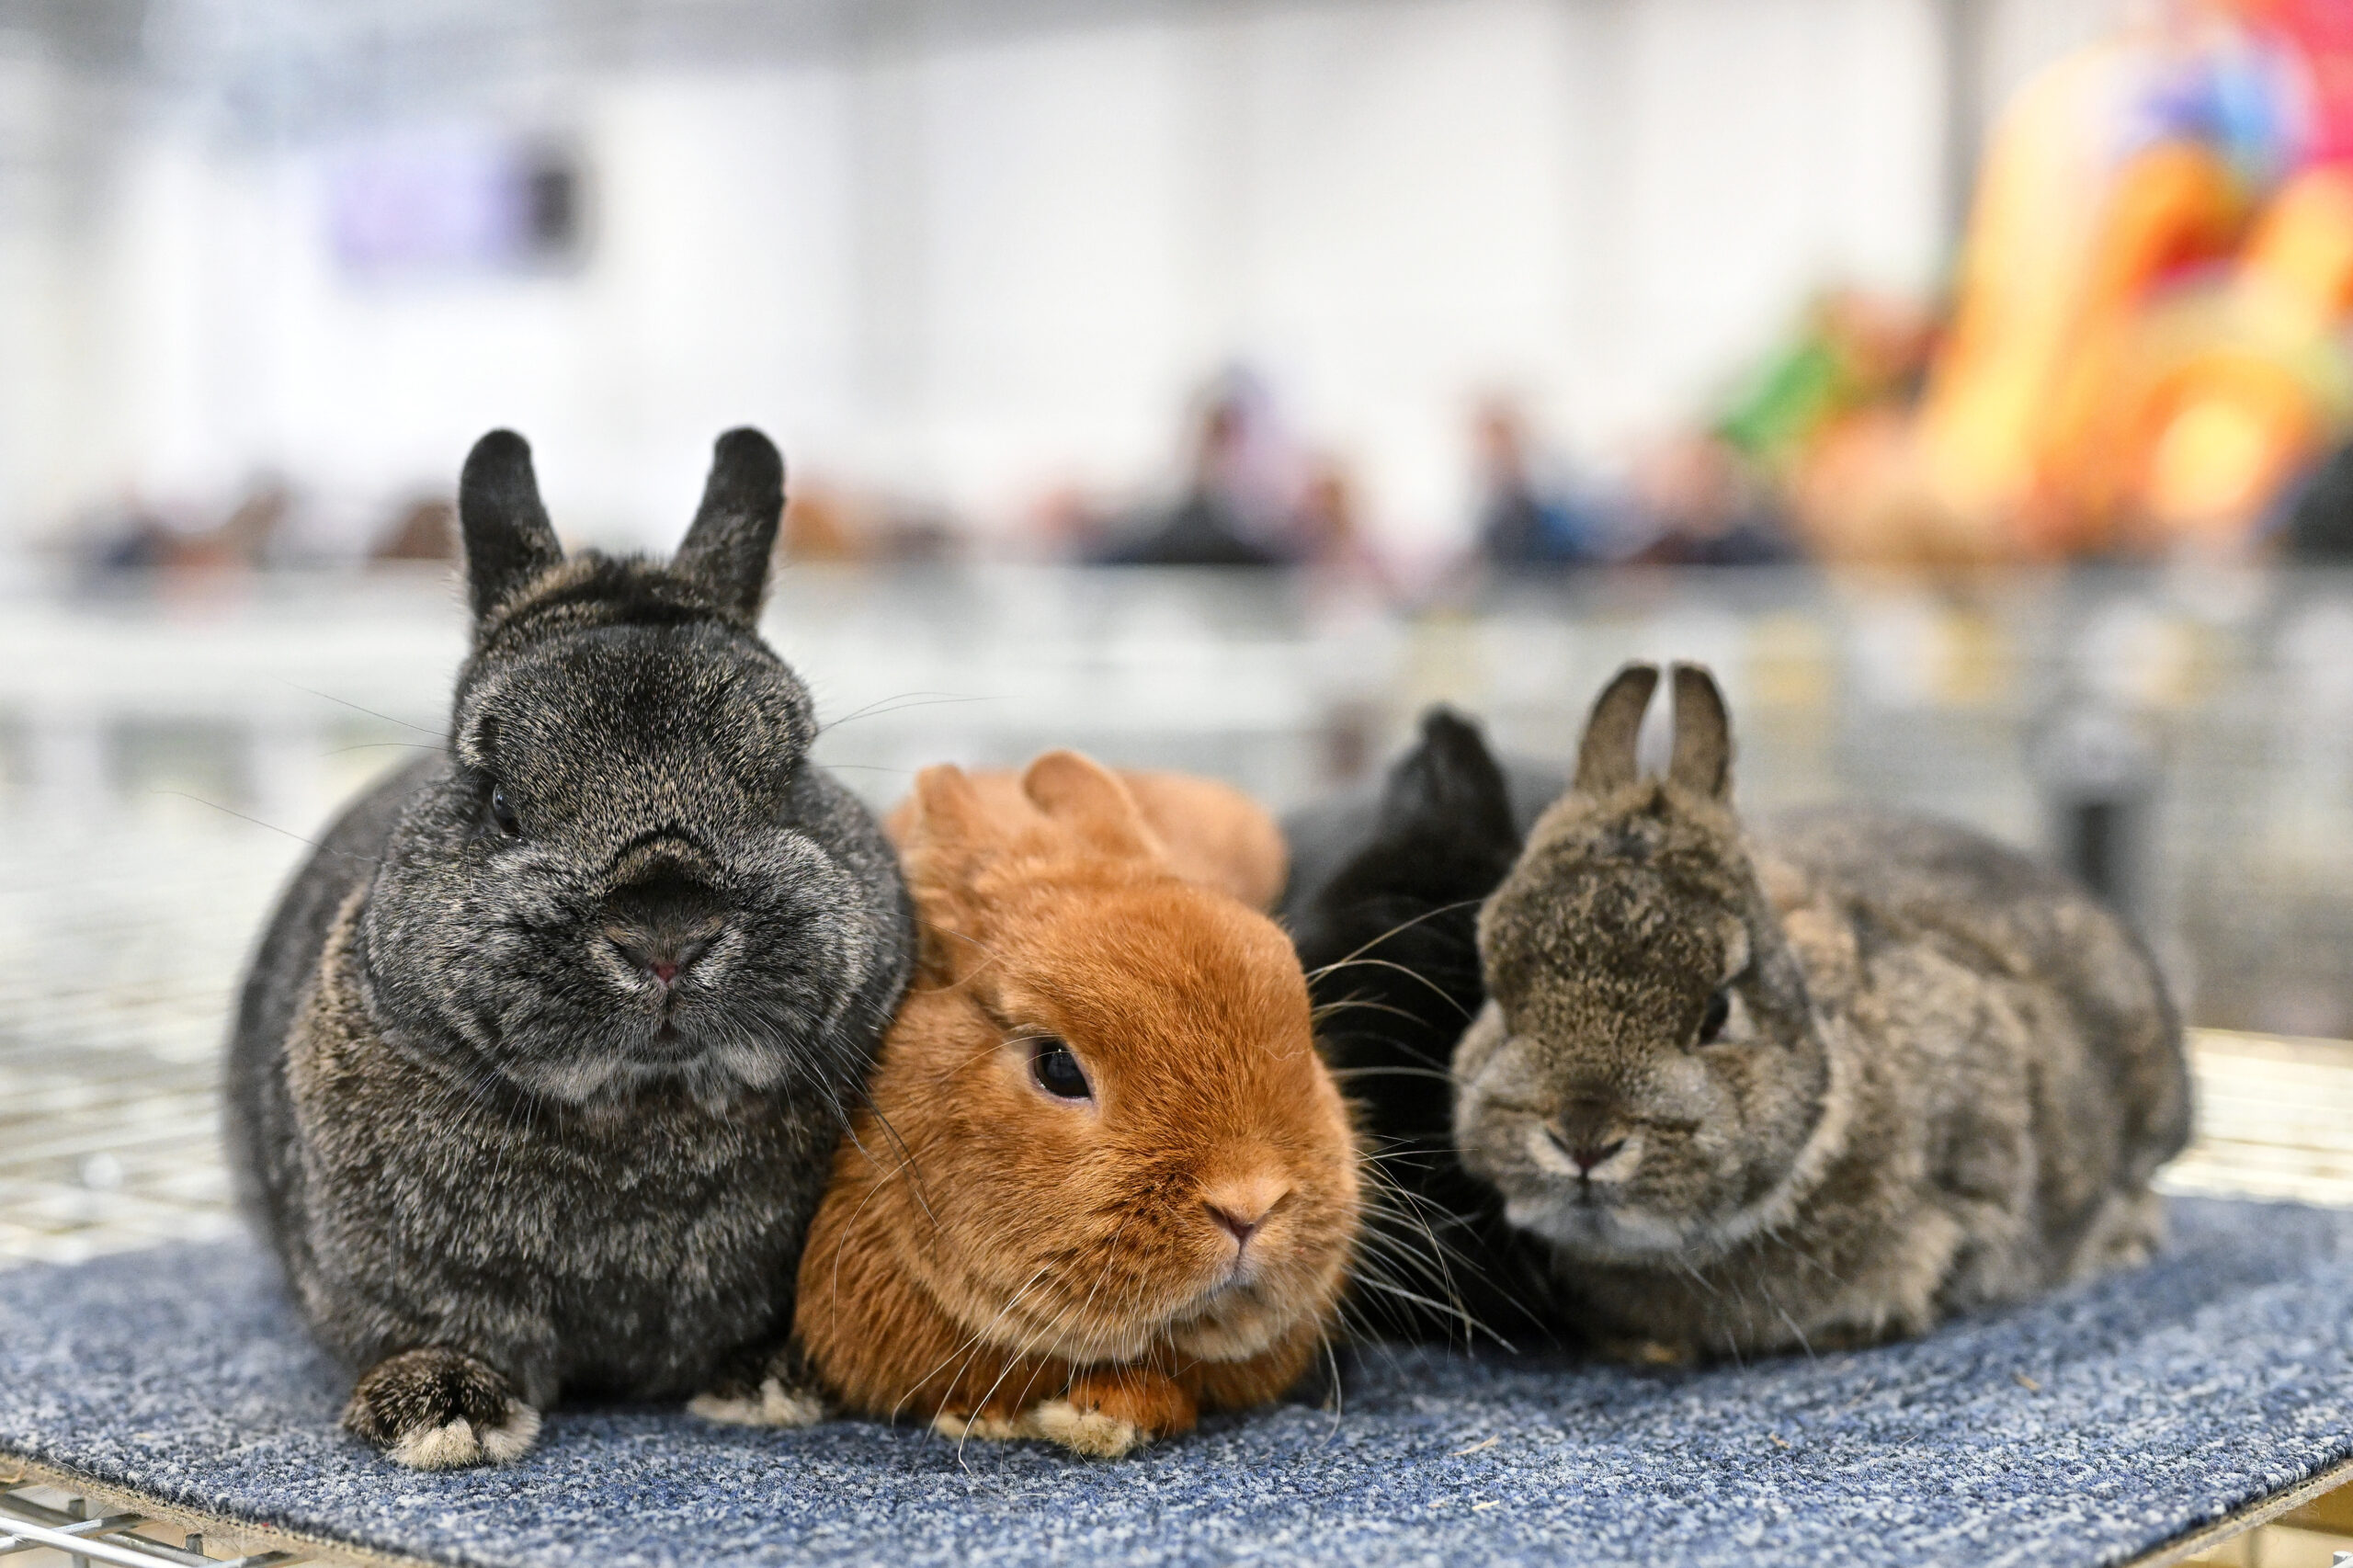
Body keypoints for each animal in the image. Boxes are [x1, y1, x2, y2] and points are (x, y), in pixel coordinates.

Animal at [227, 421, 908, 1460]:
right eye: (501, 803)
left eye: (793, 779)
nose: (668, 933)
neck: (644, 1111)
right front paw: (443, 1410)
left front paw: (771, 1381)